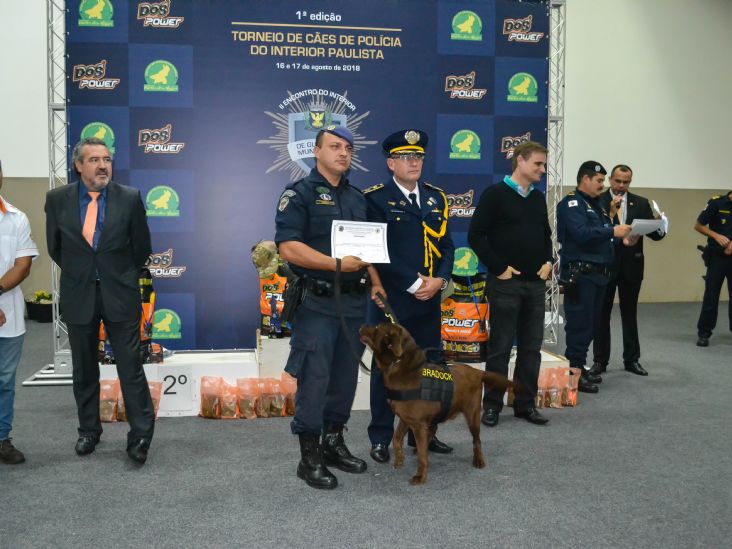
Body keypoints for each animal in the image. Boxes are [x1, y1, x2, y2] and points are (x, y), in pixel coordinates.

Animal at [358, 322, 508, 484]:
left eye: (377, 327)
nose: (361, 326)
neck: (398, 364)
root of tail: (477, 372)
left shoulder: (417, 424)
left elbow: (422, 456)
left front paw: (420, 476)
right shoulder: (406, 419)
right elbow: (396, 438)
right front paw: (399, 459)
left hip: (472, 414)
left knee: (477, 440)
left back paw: (478, 460)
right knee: (434, 429)